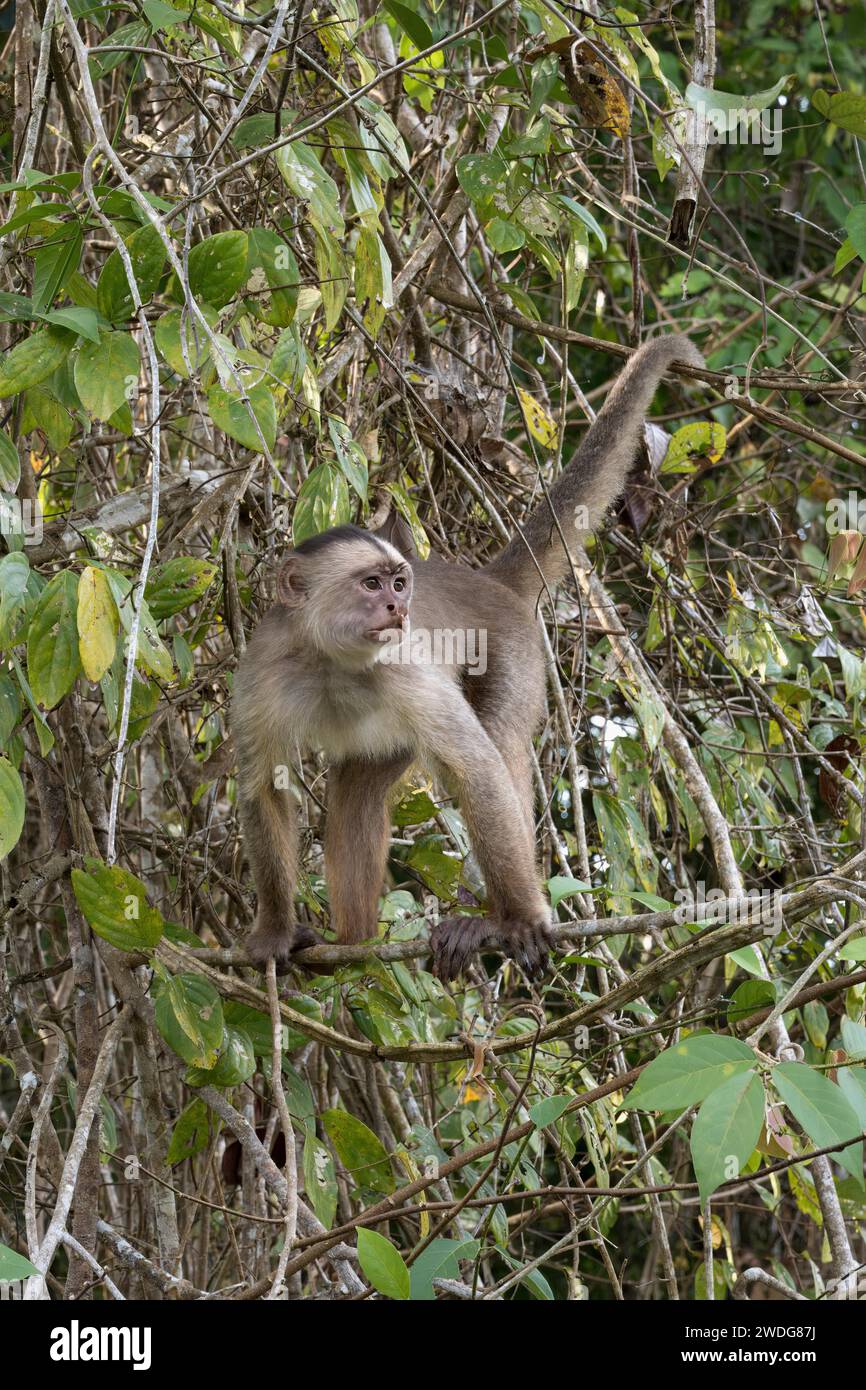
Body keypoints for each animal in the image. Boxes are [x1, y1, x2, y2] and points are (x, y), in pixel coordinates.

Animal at [234, 334, 706, 984]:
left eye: (398, 583)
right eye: (371, 583)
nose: (397, 606)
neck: (333, 659)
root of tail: (486, 582)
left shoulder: (404, 667)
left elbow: (479, 770)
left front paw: (521, 919)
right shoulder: (265, 669)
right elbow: (266, 788)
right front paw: (277, 931)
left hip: (513, 649)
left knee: (498, 747)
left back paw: (487, 918)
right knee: (357, 790)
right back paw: (352, 942)